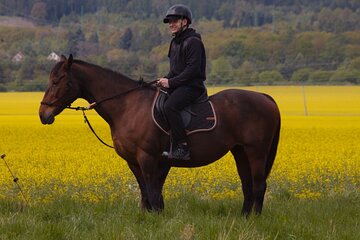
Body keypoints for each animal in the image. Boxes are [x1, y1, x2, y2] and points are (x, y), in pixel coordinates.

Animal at [39, 54, 282, 216]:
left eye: (57, 80)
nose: (43, 114)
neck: (128, 106)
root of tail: (265, 97)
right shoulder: (135, 161)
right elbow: (146, 190)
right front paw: (148, 215)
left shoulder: (147, 157)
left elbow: (152, 189)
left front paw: (155, 218)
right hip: (240, 151)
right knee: (247, 184)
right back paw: (244, 216)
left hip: (256, 152)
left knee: (259, 184)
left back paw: (255, 218)